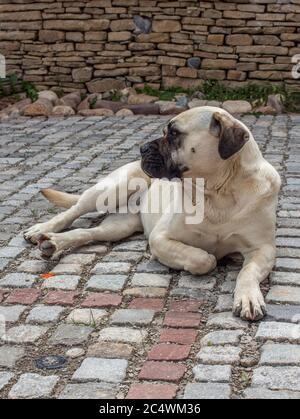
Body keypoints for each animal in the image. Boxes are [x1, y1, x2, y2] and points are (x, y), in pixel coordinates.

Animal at [24, 107, 282, 322]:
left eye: (175, 133)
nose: (142, 148)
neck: (219, 192)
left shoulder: (263, 249)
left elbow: (247, 272)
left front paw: (248, 298)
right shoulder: (160, 237)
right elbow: (203, 258)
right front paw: (207, 258)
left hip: (118, 226)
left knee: (88, 233)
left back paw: (53, 243)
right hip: (111, 189)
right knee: (74, 211)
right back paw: (43, 230)